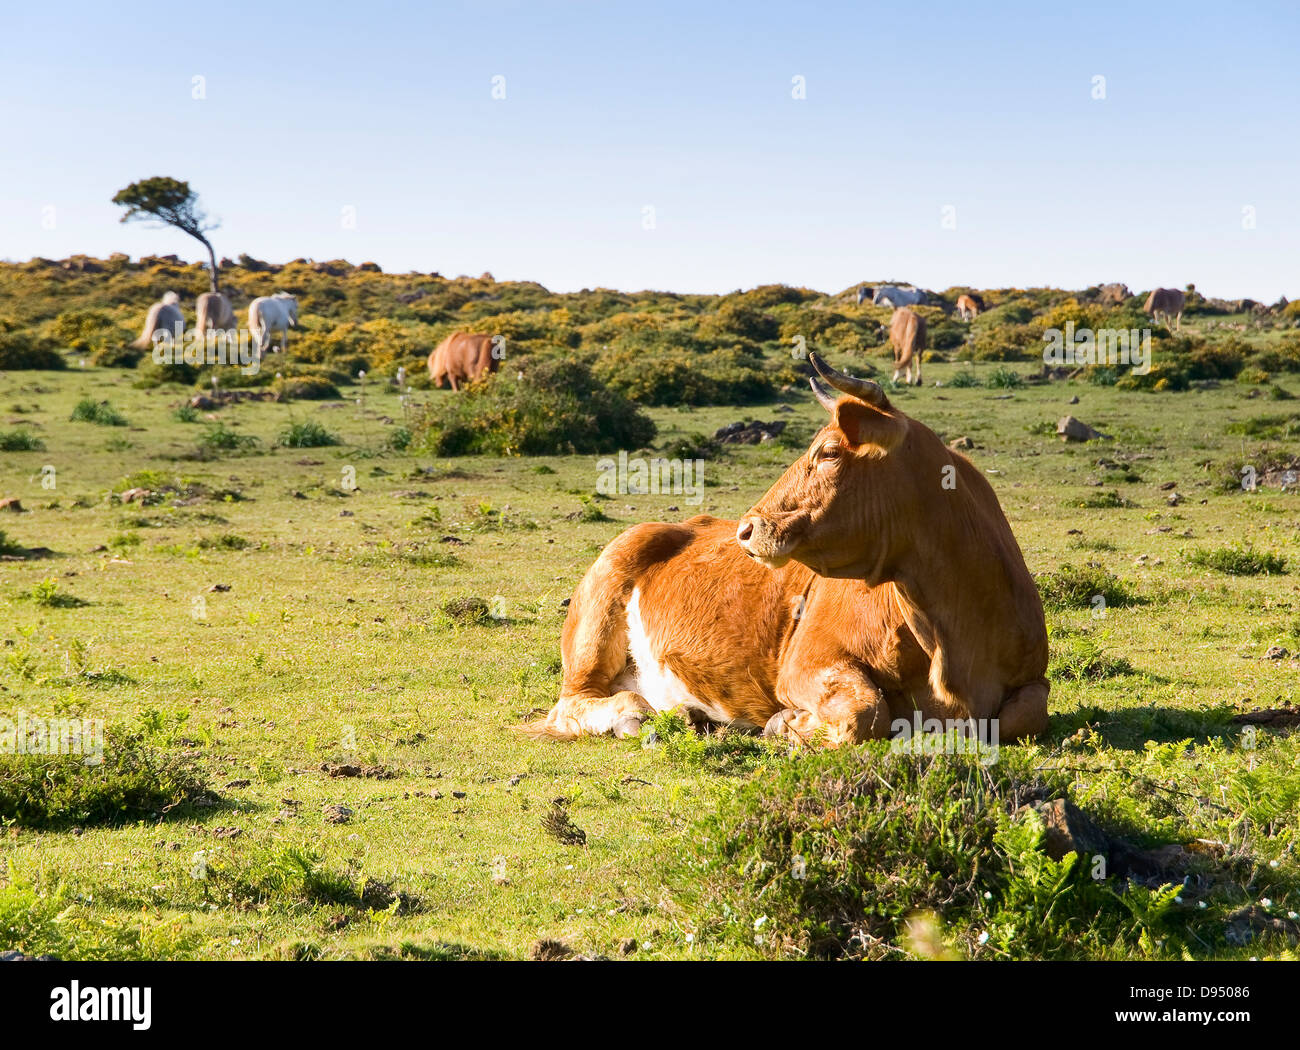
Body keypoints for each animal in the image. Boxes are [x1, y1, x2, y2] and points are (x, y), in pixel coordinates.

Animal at [522, 353, 1050, 748]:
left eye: (829, 452)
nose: (747, 529)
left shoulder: (1032, 679)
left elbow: (1023, 715)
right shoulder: (805, 663)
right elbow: (867, 713)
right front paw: (785, 724)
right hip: (596, 622)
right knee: (574, 702)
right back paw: (635, 713)